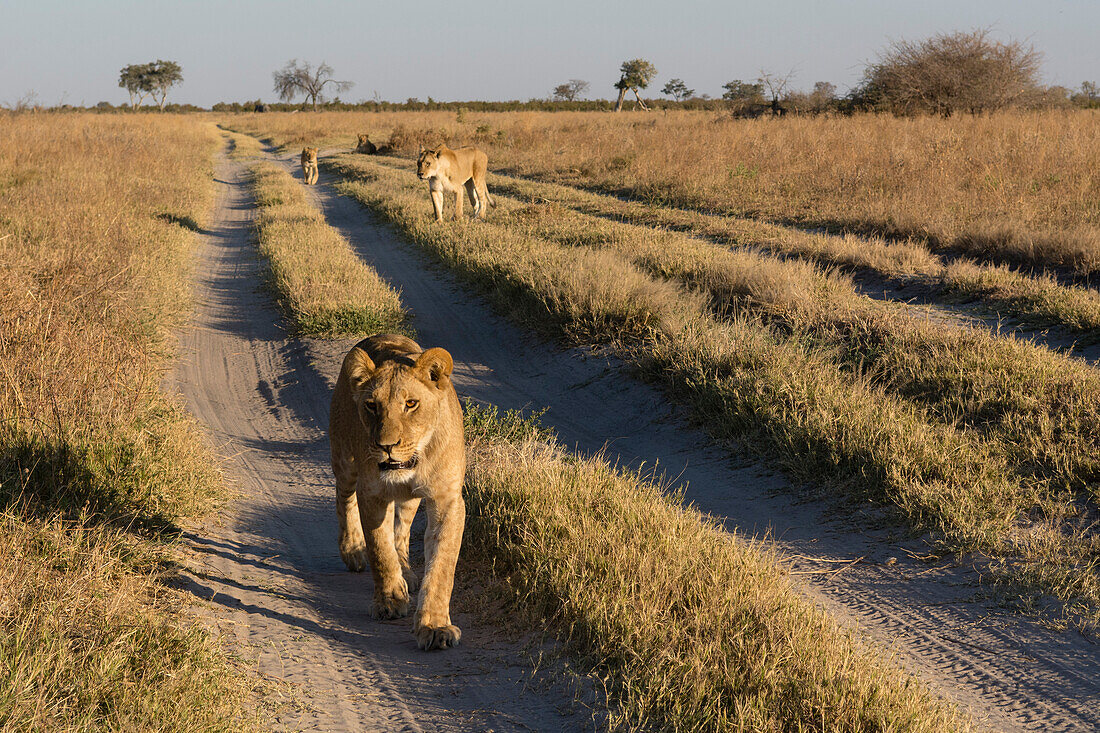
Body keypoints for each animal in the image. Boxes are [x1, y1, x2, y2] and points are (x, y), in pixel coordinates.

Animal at [325, 334, 464, 647]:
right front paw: (389, 601)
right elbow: (380, 549)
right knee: (343, 497)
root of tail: (379, 336)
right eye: (371, 405)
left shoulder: (448, 499)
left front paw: (435, 626)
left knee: (401, 530)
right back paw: (353, 549)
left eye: (411, 404)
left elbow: (441, 567)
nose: (386, 445)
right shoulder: (371, 493)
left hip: (409, 499)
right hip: (344, 460)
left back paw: (406, 571)